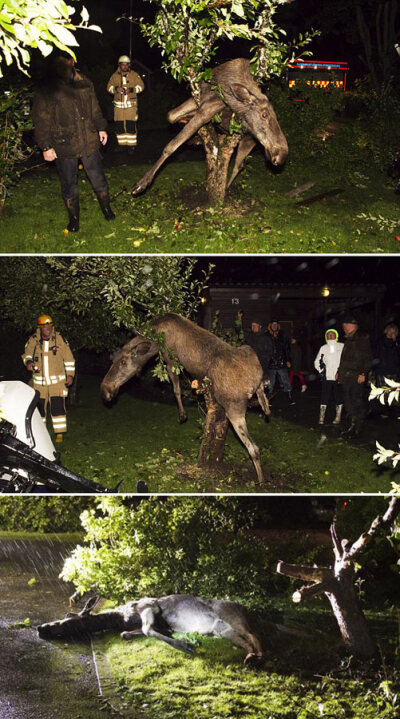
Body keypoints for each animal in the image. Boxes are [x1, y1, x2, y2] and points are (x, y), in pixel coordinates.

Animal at [36, 592, 296, 668]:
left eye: (65, 621)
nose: (40, 628)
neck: (121, 617)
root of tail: (249, 610)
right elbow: (129, 634)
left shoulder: (149, 607)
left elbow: (148, 630)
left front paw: (186, 646)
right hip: (224, 629)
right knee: (244, 639)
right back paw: (252, 657)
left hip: (229, 618)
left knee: (252, 634)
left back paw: (259, 654)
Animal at [100, 314, 270, 484]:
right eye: (113, 360)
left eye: (123, 362)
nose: (105, 390)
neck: (155, 336)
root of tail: (255, 381)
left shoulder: (170, 358)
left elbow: (176, 389)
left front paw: (182, 414)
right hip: (248, 360)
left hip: (234, 408)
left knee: (254, 448)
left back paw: (261, 481)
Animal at [131, 58, 288, 200]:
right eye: (264, 114)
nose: (281, 155)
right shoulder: (200, 100)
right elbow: (171, 117)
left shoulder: (210, 108)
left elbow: (171, 146)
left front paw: (142, 183)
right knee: (240, 163)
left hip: (249, 140)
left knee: (238, 165)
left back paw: (224, 189)